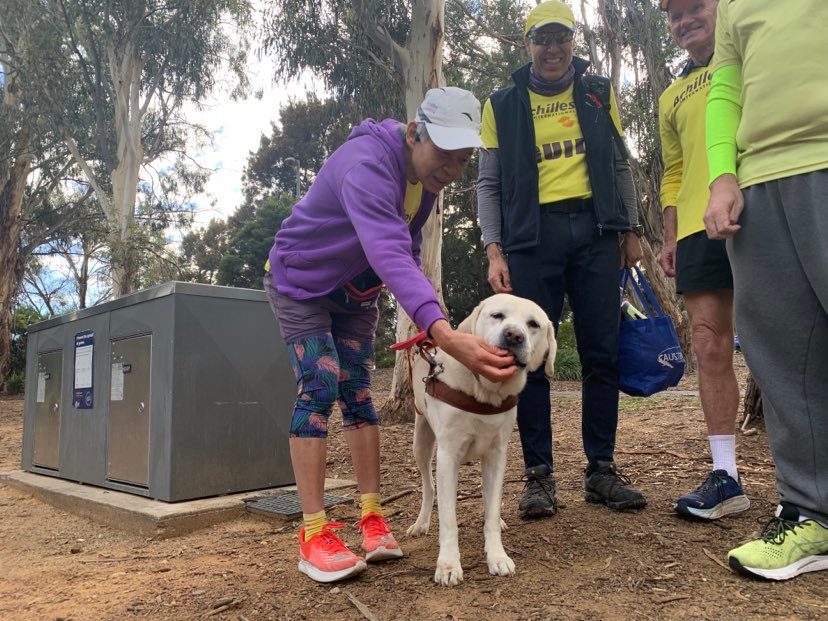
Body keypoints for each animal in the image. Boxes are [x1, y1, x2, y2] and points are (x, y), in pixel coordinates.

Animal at [408, 294, 556, 584]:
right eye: (497, 315)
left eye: (532, 324)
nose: (514, 335)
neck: (486, 391)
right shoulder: (448, 456)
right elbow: (448, 520)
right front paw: (448, 565)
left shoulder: (497, 455)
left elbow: (492, 509)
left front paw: (497, 556)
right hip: (421, 442)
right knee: (429, 487)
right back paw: (421, 523)